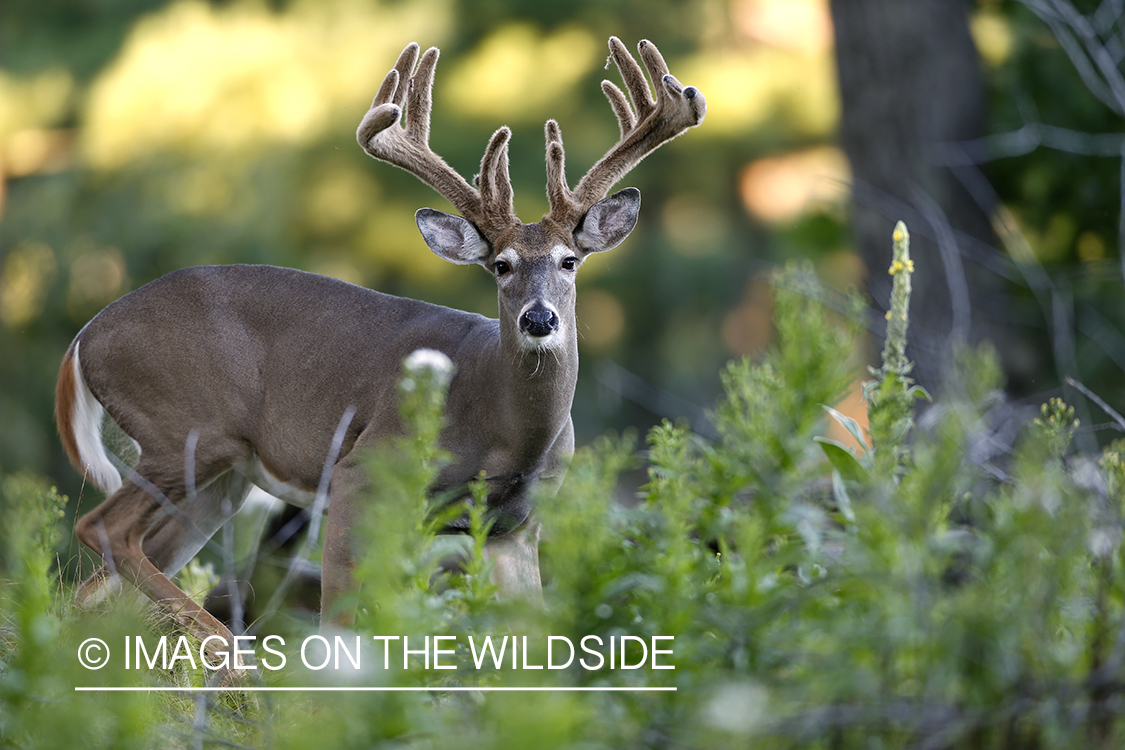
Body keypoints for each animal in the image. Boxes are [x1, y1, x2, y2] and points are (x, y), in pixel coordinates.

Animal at [54, 36, 702, 670]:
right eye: (501, 265)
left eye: (570, 260)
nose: (539, 319)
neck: (502, 427)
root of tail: (85, 338)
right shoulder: (359, 473)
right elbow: (338, 625)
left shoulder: (518, 526)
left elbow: (537, 641)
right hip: (186, 428)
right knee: (104, 530)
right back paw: (234, 654)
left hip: (220, 477)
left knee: (106, 589)